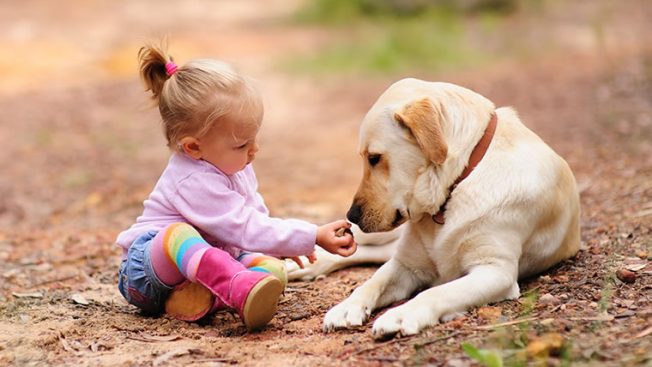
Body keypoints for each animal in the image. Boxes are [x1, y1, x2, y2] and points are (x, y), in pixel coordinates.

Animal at [320, 79, 580, 340]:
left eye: (374, 158)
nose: (351, 215)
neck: (461, 177)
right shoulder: (406, 264)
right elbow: (372, 282)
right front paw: (346, 307)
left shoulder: (496, 271)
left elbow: (436, 292)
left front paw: (402, 314)